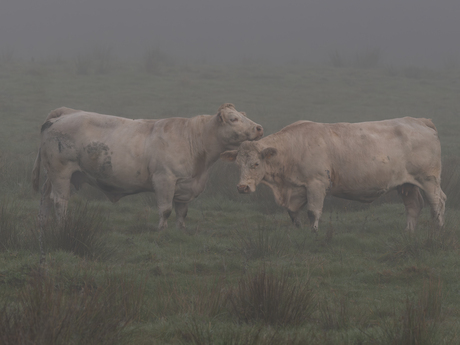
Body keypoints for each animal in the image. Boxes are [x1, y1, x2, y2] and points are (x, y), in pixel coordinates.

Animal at [32, 103, 262, 230]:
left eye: (244, 116)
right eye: (233, 119)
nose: (259, 127)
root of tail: (65, 114)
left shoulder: (185, 186)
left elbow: (182, 212)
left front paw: (181, 230)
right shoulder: (164, 179)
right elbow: (166, 209)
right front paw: (161, 230)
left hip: (55, 175)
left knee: (45, 197)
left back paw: (42, 223)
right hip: (61, 172)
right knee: (59, 201)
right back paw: (63, 225)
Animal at [222, 117, 446, 232]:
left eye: (256, 163)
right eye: (239, 164)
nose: (242, 187)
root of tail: (418, 121)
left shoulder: (316, 184)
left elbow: (313, 211)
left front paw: (313, 232)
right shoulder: (297, 190)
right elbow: (293, 213)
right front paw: (298, 230)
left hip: (429, 180)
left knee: (437, 202)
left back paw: (438, 229)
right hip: (407, 184)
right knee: (414, 206)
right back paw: (409, 232)